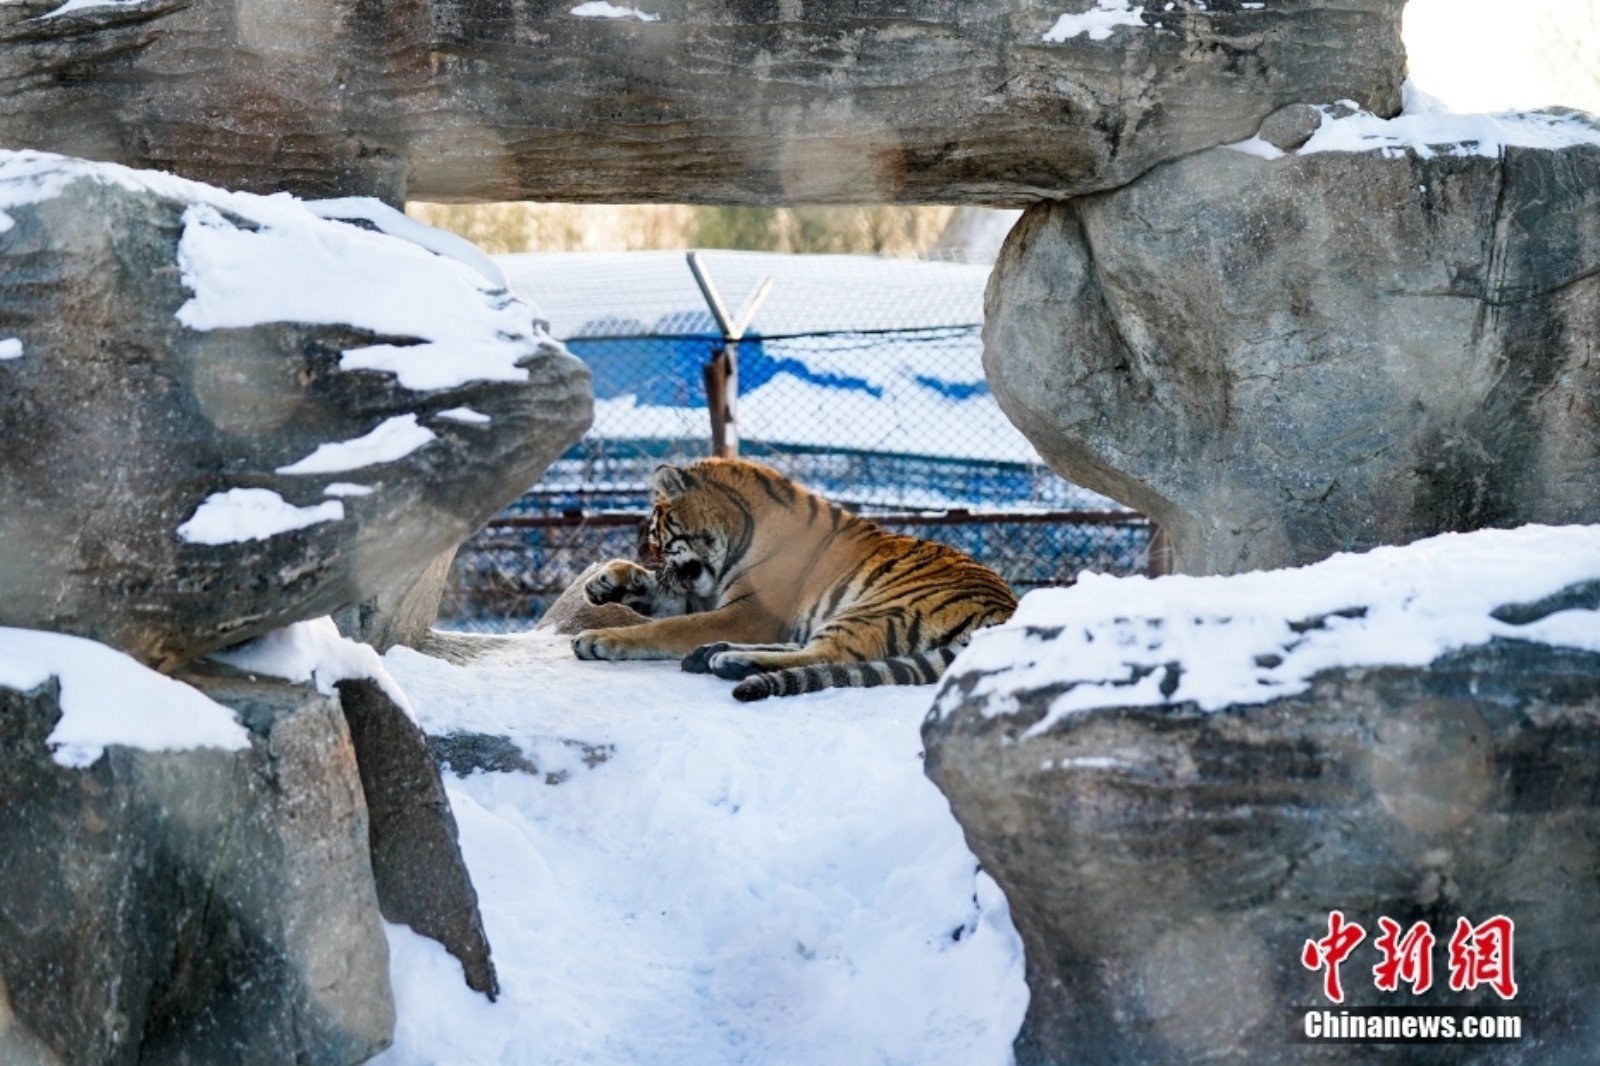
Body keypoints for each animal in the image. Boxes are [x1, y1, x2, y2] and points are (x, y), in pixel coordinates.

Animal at [569, 454, 1011, 697]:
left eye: (658, 535)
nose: (657, 560)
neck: (737, 532)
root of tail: (1006, 614)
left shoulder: (749, 612)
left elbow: (667, 627)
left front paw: (599, 638)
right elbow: (668, 606)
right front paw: (607, 581)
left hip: (878, 605)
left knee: (828, 655)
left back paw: (727, 659)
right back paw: (710, 653)